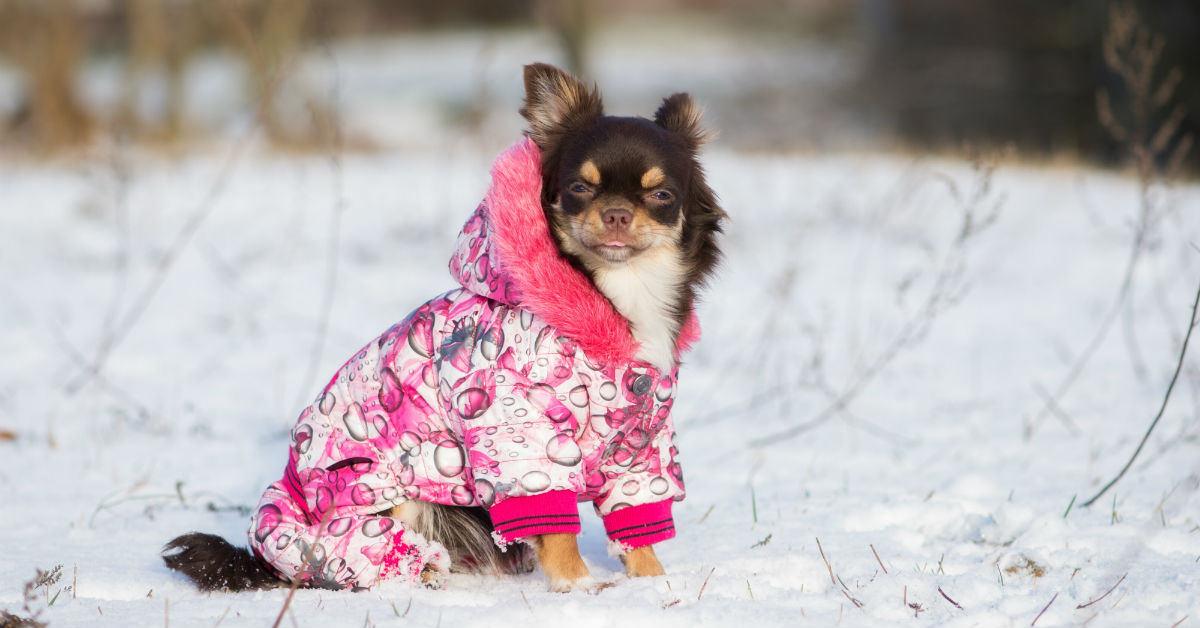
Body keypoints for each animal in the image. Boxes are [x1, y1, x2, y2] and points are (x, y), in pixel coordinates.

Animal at [159, 61, 720, 593]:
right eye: (580, 188)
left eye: (662, 195)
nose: (618, 214)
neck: (616, 293)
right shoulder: (518, 430)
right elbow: (553, 521)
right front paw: (576, 584)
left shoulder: (641, 439)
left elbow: (635, 515)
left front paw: (652, 580)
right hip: (379, 486)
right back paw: (424, 571)